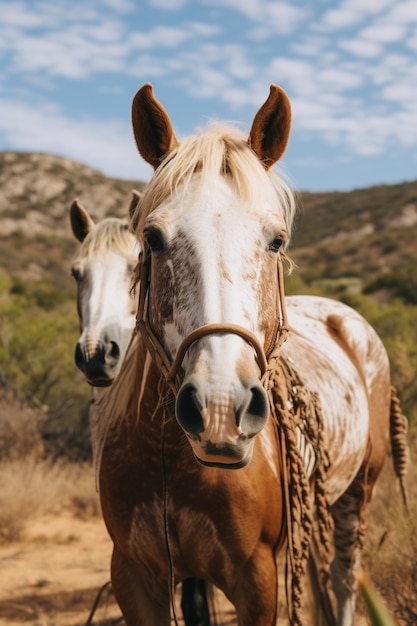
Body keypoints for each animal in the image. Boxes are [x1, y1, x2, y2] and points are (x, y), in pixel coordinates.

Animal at [93, 84, 406, 624]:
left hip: (356, 497)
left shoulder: (256, 578)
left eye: (276, 240)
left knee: (344, 580)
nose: (221, 408)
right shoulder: (133, 575)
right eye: (152, 238)